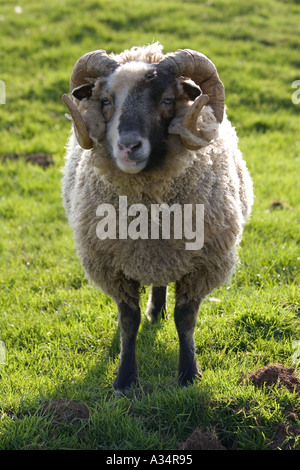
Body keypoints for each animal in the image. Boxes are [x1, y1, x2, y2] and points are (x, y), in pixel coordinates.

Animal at [62, 42, 254, 394]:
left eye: (166, 100)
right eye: (105, 101)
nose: (128, 146)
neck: (150, 215)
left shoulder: (203, 264)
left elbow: (185, 319)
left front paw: (188, 374)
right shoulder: (111, 266)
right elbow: (129, 320)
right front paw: (125, 379)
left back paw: (158, 311)